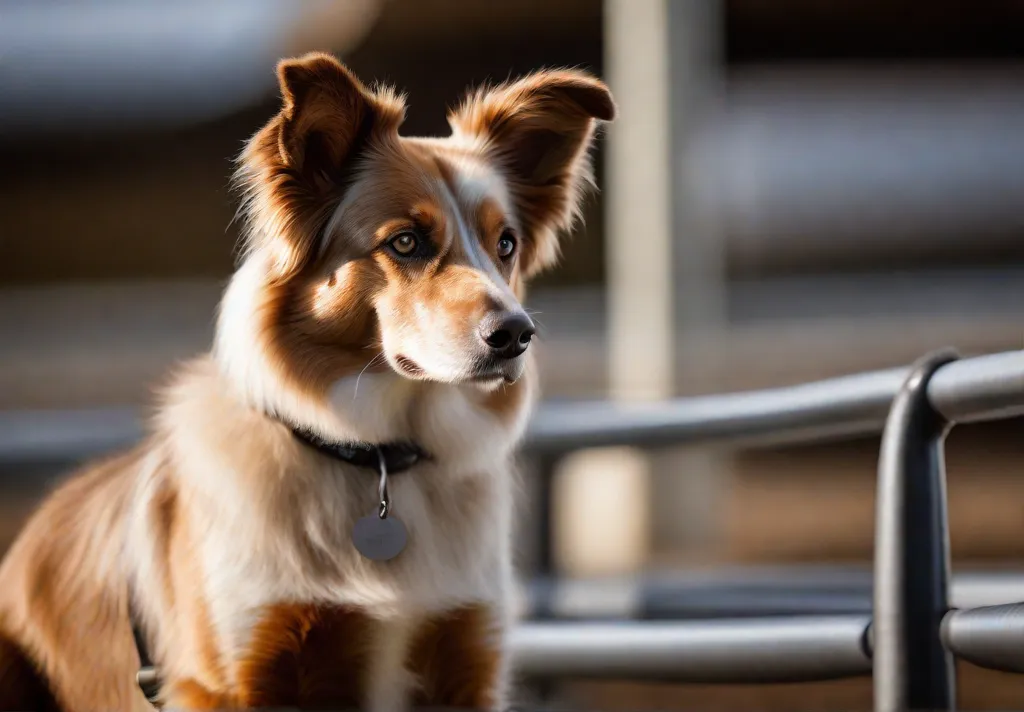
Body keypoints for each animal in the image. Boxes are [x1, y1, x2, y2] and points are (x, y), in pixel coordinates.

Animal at [0, 53, 610, 708]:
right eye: (406, 241)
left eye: (506, 244)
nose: (516, 334)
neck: (375, 459)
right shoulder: (235, 676)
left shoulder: (469, 663)